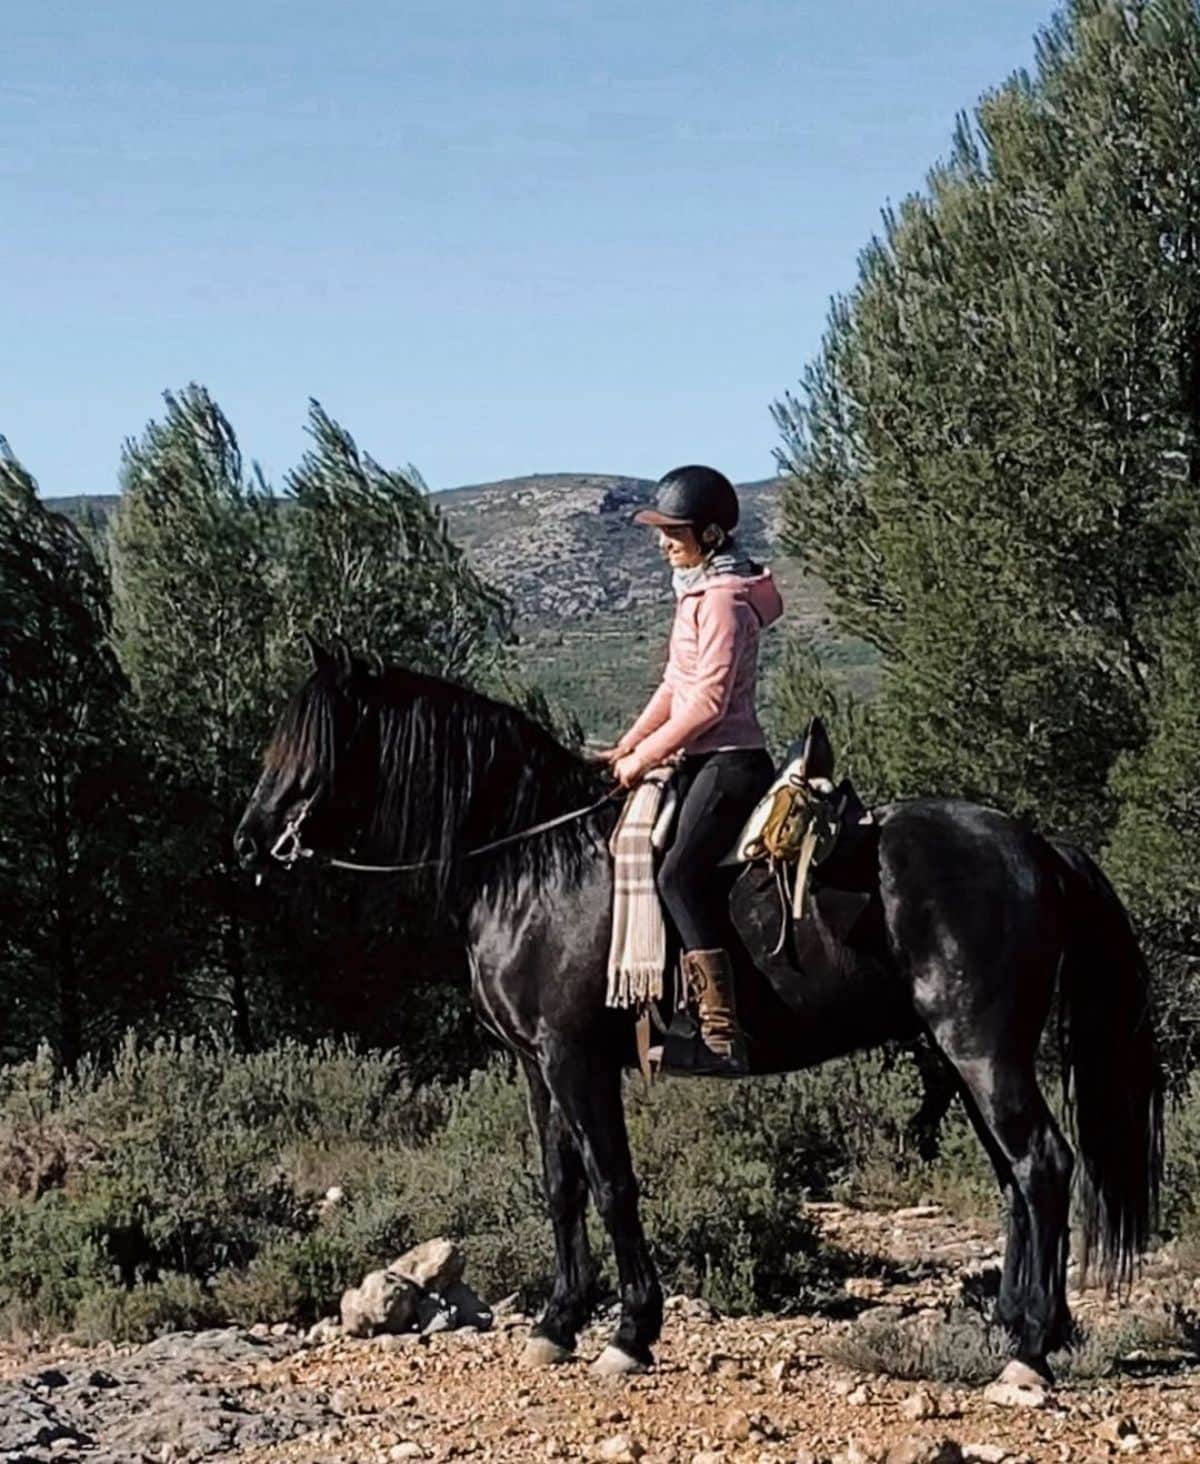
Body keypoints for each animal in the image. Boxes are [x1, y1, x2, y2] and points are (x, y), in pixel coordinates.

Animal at [234, 641, 1164, 1382]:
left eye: (309, 739)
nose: (248, 838)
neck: (534, 862)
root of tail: (1038, 846)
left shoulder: (576, 1058)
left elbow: (612, 1183)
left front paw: (630, 1333)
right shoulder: (535, 1064)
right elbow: (561, 1186)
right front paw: (557, 1324)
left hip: (982, 1047)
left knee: (1042, 1165)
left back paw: (1032, 1349)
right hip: (965, 1056)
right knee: (1016, 1181)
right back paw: (1018, 1326)